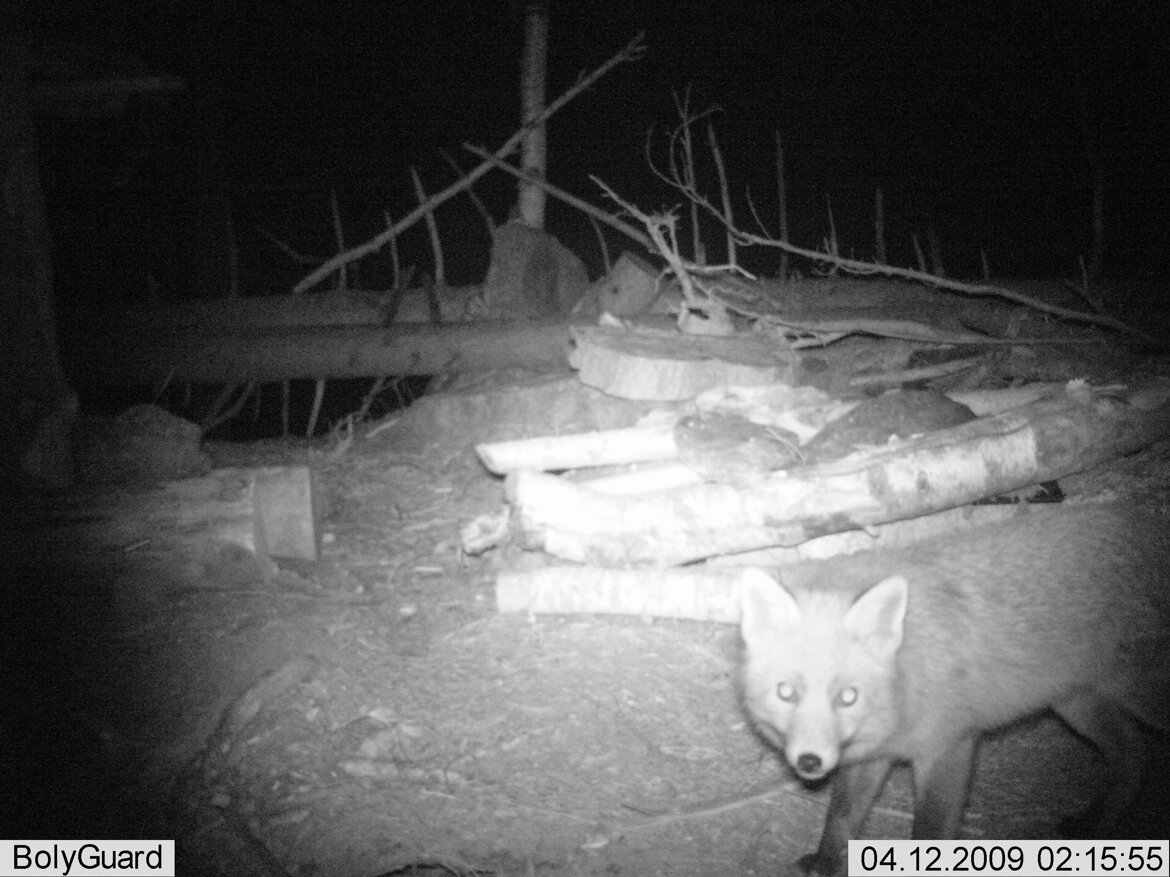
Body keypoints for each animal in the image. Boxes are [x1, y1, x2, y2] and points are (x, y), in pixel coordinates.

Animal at [738, 502, 1170, 877]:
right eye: (786, 693)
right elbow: (841, 819)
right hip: (1076, 703)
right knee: (1134, 754)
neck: (905, 684)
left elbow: (929, 835)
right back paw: (1099, 826)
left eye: (847, 696)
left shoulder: (950, 747)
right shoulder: (871, 755)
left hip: (1133, 695)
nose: (810, 762)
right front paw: (825, 865)